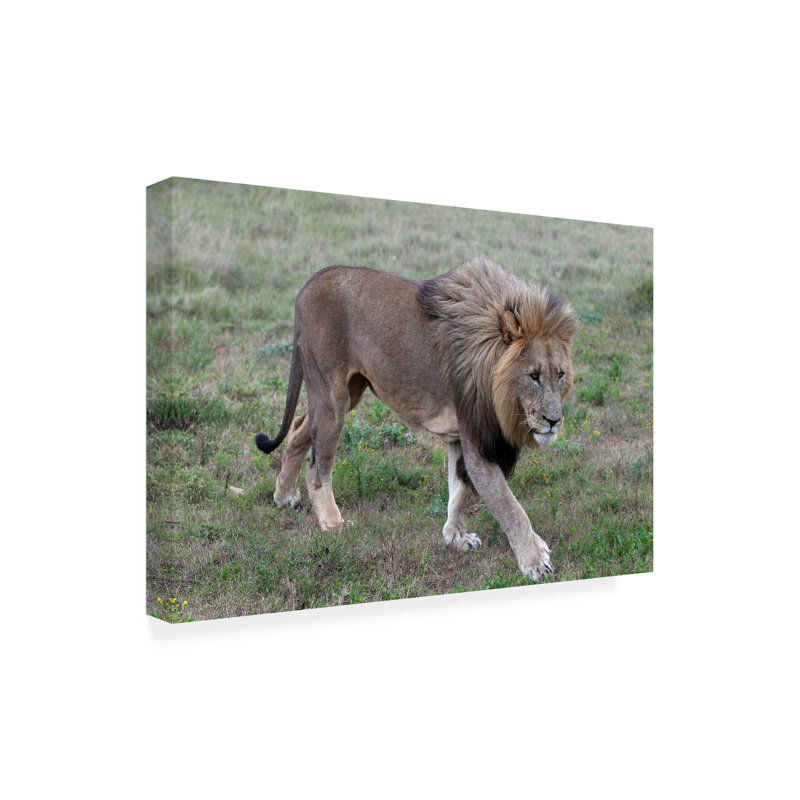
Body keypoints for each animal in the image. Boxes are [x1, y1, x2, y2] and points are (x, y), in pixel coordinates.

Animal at [255, 257, 577, 581]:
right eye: (533, 376)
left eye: (560, 375)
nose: (554, 421)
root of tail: (310, 282)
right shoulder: (477, 441)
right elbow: (510, 507)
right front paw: (534, 561)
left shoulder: (459, 437)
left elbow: (459, 490)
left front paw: (456, 537)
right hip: (332, 395)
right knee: (317, 470)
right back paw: (332, 523)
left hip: (350, 391)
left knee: (298, 429)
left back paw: (284, 495)